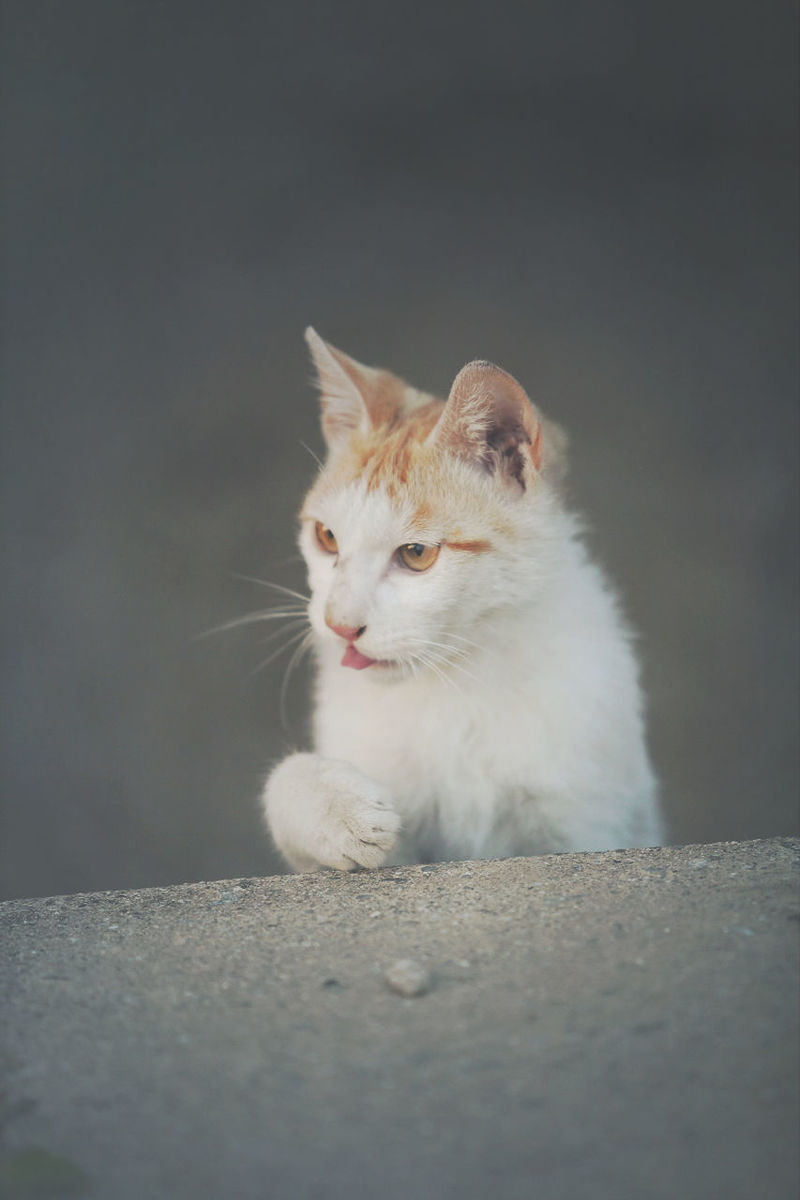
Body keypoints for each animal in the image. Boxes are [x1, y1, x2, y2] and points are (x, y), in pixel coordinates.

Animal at [262, 328, 662, 873]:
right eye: (326, 537)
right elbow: (286, 783)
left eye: (416, 554)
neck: (456, 680)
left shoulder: (590, 820)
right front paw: (336, 808)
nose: (339, 624)